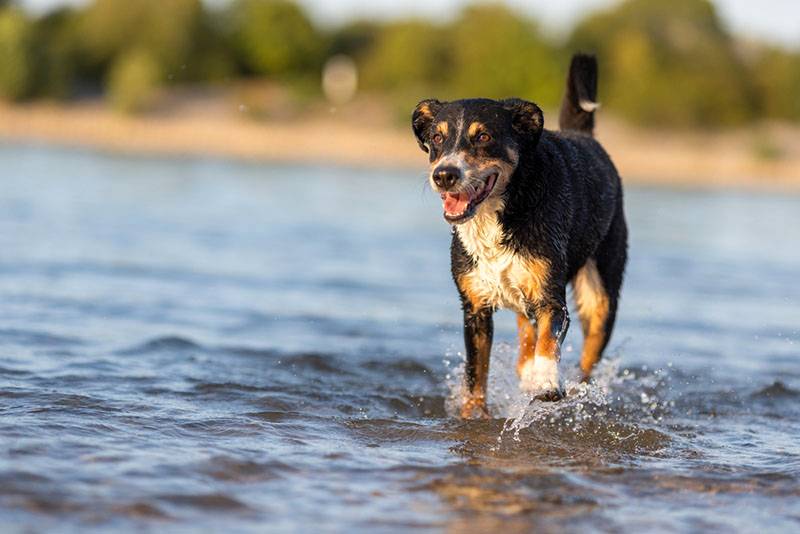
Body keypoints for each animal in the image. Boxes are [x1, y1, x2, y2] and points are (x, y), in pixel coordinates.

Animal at [412, 54, 632, 418]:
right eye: (438, 138)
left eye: (483, 137)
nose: (444, 175)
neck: (499, 215)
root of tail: (583, 135)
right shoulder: (474, 308)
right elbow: (476, 372)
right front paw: (473, 414)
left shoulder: (551, 299)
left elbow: (548, 340)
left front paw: (544, 379)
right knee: (524, 330)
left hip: (601, 295)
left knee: (586, 360)